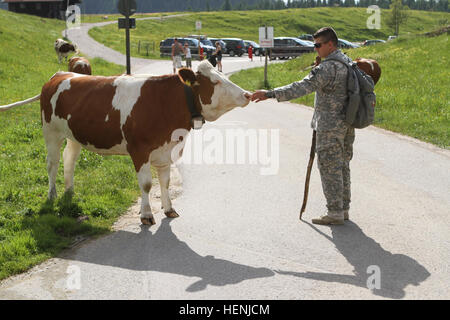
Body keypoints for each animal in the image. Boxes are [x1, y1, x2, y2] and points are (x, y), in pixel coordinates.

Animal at [0, 60, 250, 225]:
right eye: (216, 81)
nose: (247, 94)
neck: (165, 102)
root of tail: (60, 74)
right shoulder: (139, 150)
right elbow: (147, 185)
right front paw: (147, 215)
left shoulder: (165, 151)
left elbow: (166, 182)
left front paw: (169, 209)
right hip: (51, 132)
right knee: (52, 164)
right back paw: (52, 195)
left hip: (74, 135)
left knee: (68, 159)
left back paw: (69, 191)